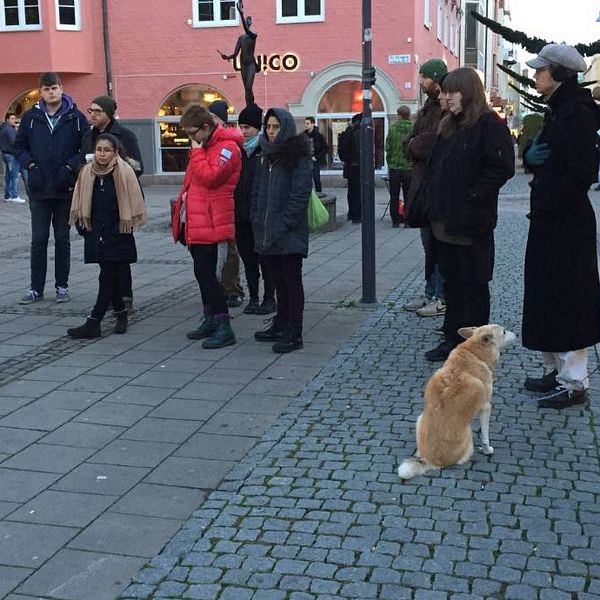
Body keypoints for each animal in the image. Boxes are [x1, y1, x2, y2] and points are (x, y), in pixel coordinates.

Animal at [398, 326, 516, 480]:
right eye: (504, 331)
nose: (518, 334)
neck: (473, 353)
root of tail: (431, 461)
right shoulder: (486, 407)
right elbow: (485, 436)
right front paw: (487, 449)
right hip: (468, 436)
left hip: (419, 419)